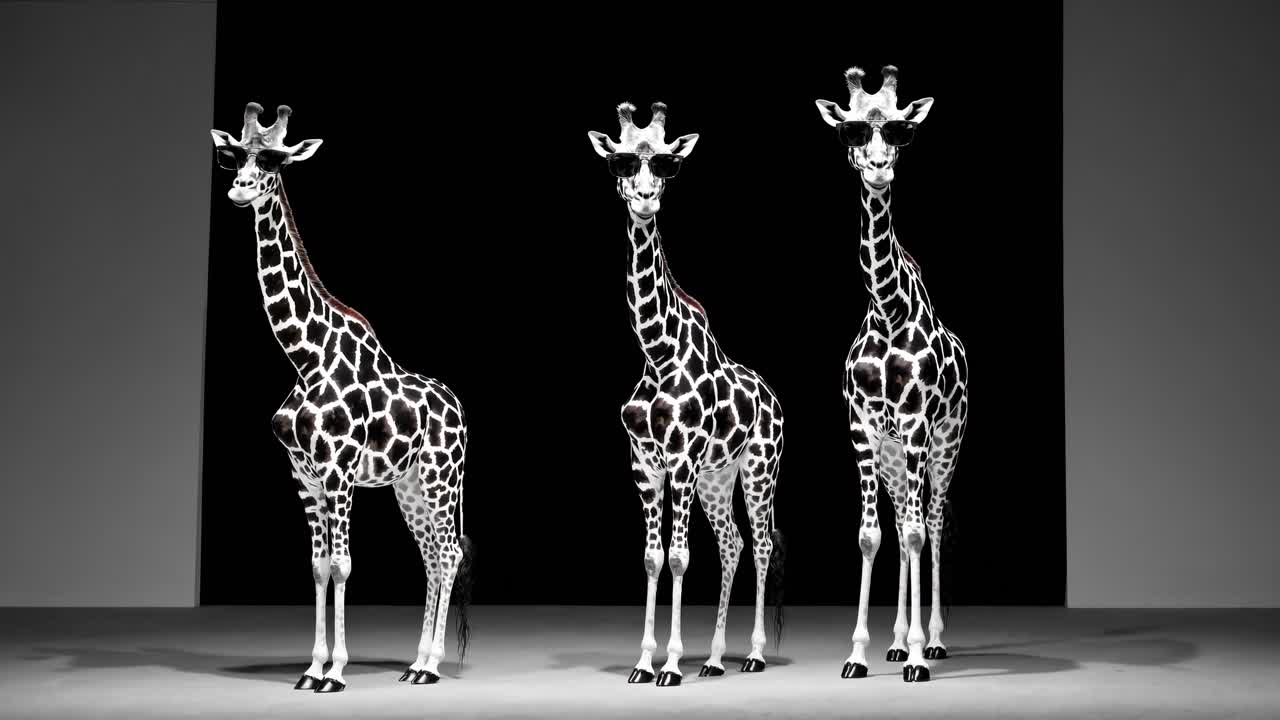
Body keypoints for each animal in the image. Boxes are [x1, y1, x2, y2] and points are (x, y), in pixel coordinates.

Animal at [209, 102, 475, 692]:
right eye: (234, 156)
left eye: (275, 161)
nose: (240, 189)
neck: (303, 356)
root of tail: (460, 409)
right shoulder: (303, 477)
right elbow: (316, 567)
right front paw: (311, 669)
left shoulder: (339, 473)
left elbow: (343, 565)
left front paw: (335, 671)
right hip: (408, 486)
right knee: (431, 556)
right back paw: (414, 663)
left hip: (442, 478)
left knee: (449, 553)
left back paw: (431, 666)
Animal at [587, 101, 787, 687]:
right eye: (621, 162)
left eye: (667, 165)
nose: (645, 197)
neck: (657, 351)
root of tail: (774, 398)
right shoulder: (644, 467)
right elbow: (653, 559)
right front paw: (642, 663)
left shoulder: (679, 461)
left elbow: (678, 557)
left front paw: (671, 666)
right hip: (717, 478)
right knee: (732, 542)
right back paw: (716, 660)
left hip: (758, 467)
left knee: (760, 542)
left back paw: (753, 655)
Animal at [815, 66, 970, 683]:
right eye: (853, 129)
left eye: (902, 130)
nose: (879, 165)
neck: (887, 307)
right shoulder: (862, 428)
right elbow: (872, 535)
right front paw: (858, 654)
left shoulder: (917, 423)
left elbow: (919, 533)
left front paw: (922, 658)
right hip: (890, 455)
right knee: (905, 522)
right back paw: (899, 643)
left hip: (947, 443)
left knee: (933, 524)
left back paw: (933, 643)